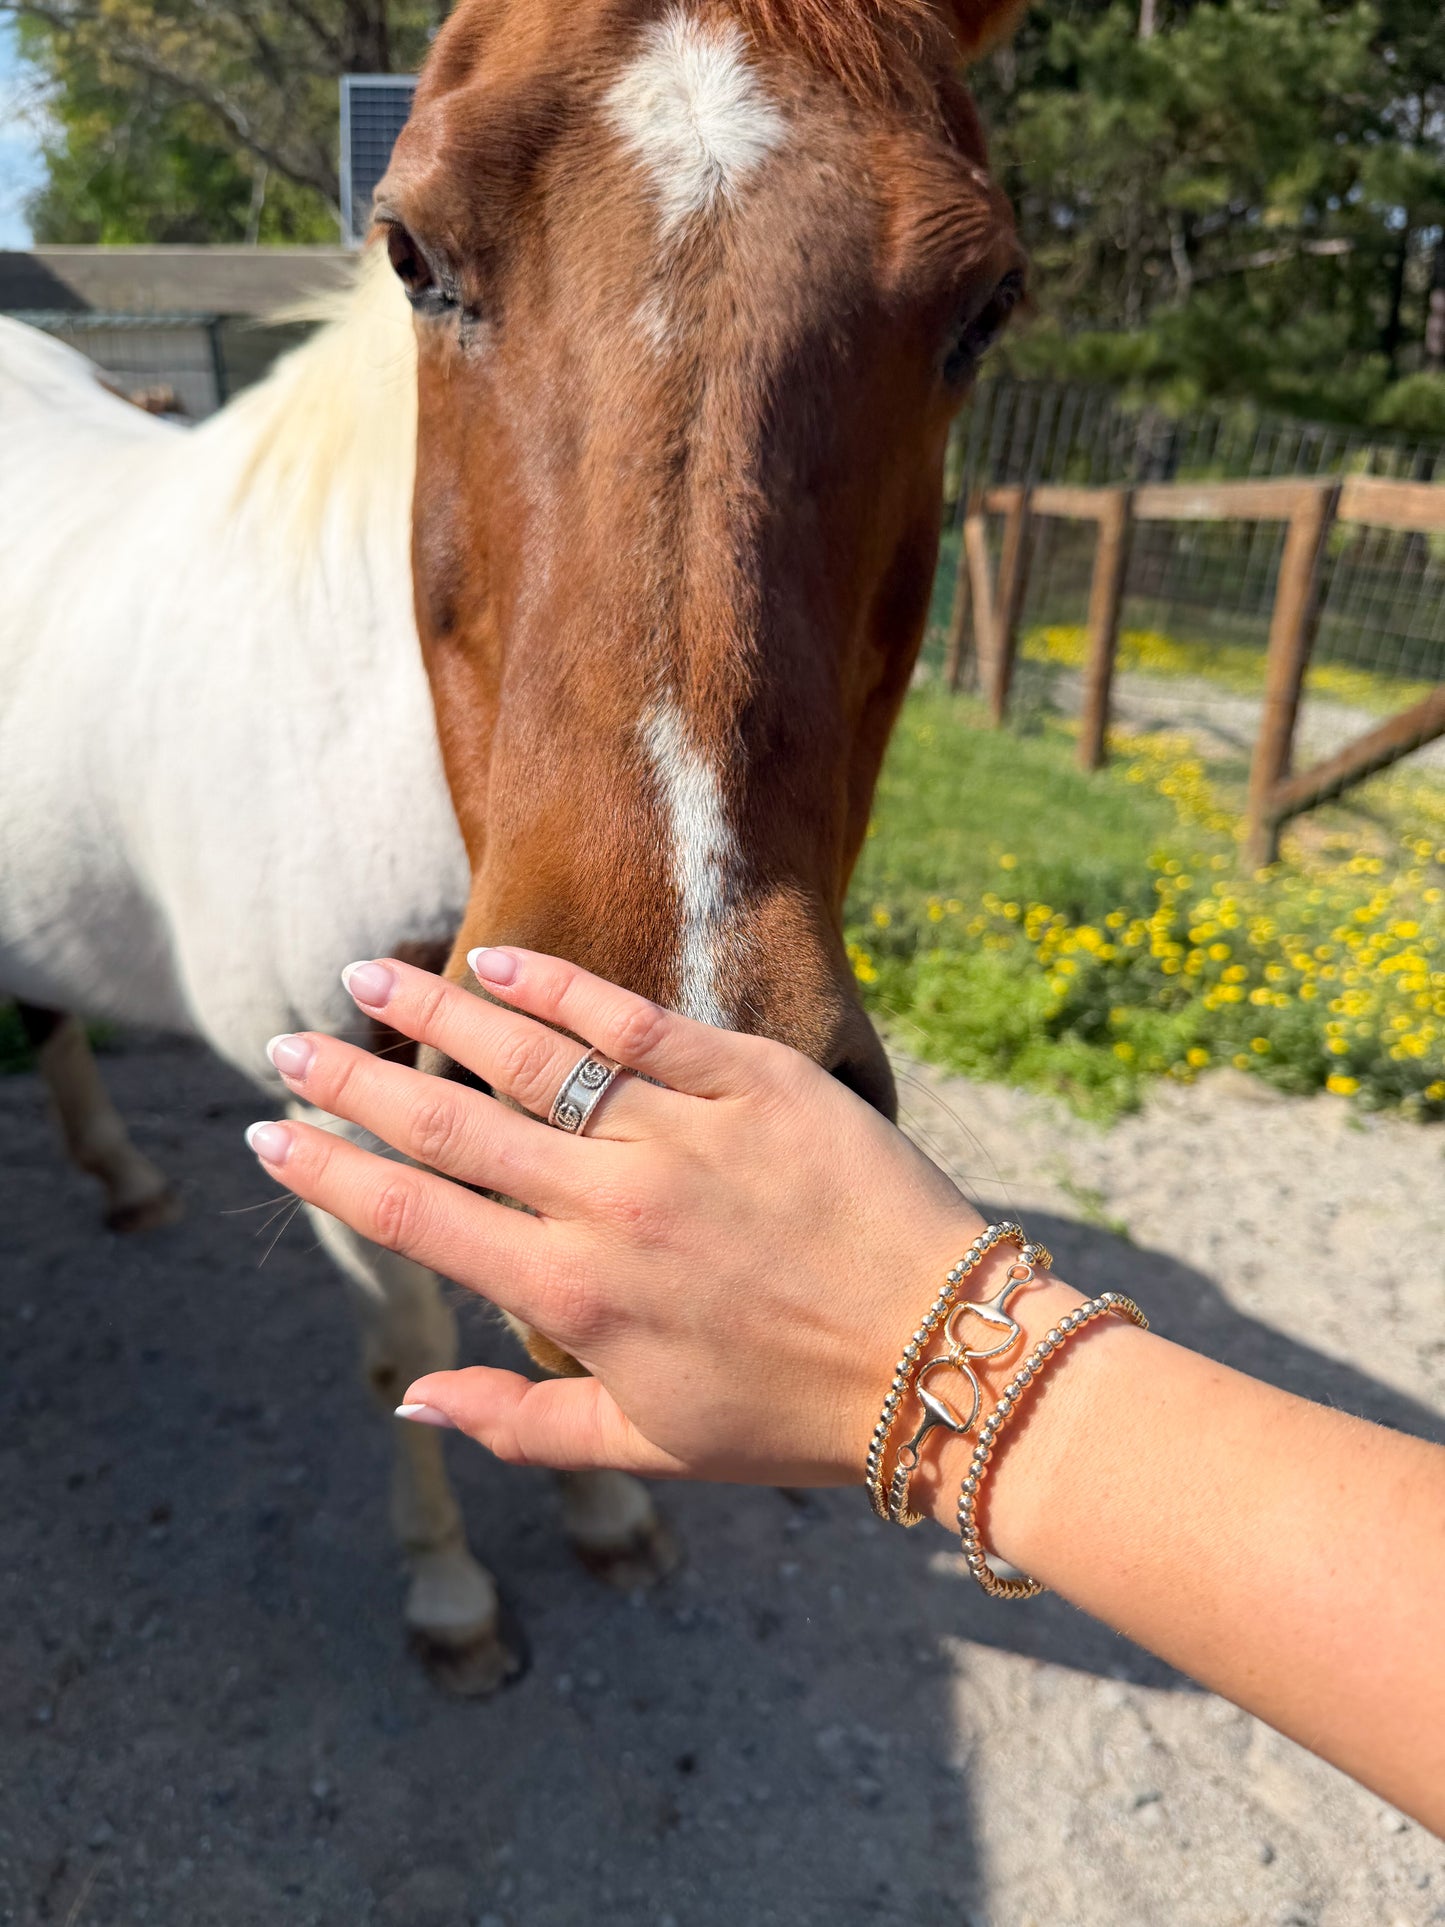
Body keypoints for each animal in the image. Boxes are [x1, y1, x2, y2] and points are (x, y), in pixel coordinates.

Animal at [0, 0, 1024, 1694]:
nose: (677, 1051)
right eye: (412, 248)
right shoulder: (326, 1096)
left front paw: (604, 1502)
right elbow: (414, 1343)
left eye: (986, 304)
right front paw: (449, 1589)